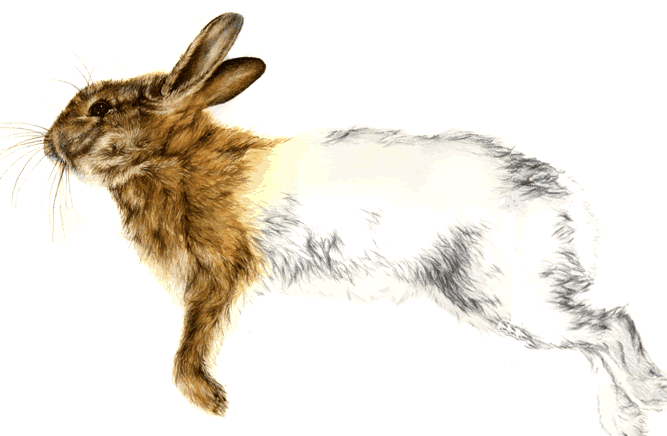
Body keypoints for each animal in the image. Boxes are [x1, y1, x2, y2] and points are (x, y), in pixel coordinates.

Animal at [15, 12, 666, 436]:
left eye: (100, 108)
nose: (49, 144)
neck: (171, 160)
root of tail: (568, 204)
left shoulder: (220, 274)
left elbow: (189, 346)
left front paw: (212, 401)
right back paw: (633, 414)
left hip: (508, 295)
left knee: (611, 326)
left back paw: (636, 408)